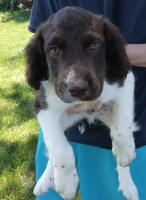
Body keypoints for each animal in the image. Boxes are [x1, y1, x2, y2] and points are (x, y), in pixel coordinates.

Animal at [25, 6, 139, 200]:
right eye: (53, 50)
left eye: (94, 45)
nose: (77, 89)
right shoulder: (42, 105)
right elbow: (59, 148)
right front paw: (66, 182)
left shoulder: (125, 80)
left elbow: (121, 129)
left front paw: (124, 153)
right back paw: (45, 181)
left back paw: (128, 184)